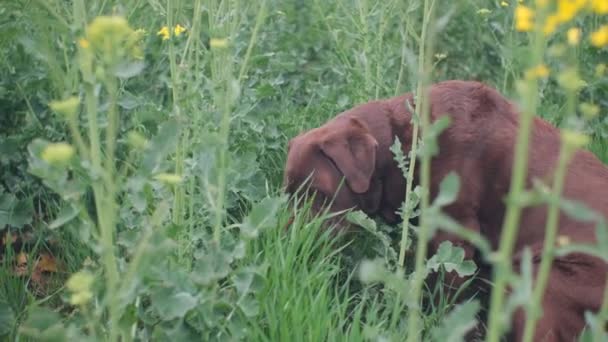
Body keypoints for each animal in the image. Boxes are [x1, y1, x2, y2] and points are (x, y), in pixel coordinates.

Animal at [282, 79, 608, 340]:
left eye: (317, 194)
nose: (290, 244)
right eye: (288, 194)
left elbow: (451, 299)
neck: (408, 144)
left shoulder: (454, 234)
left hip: (543, 273)